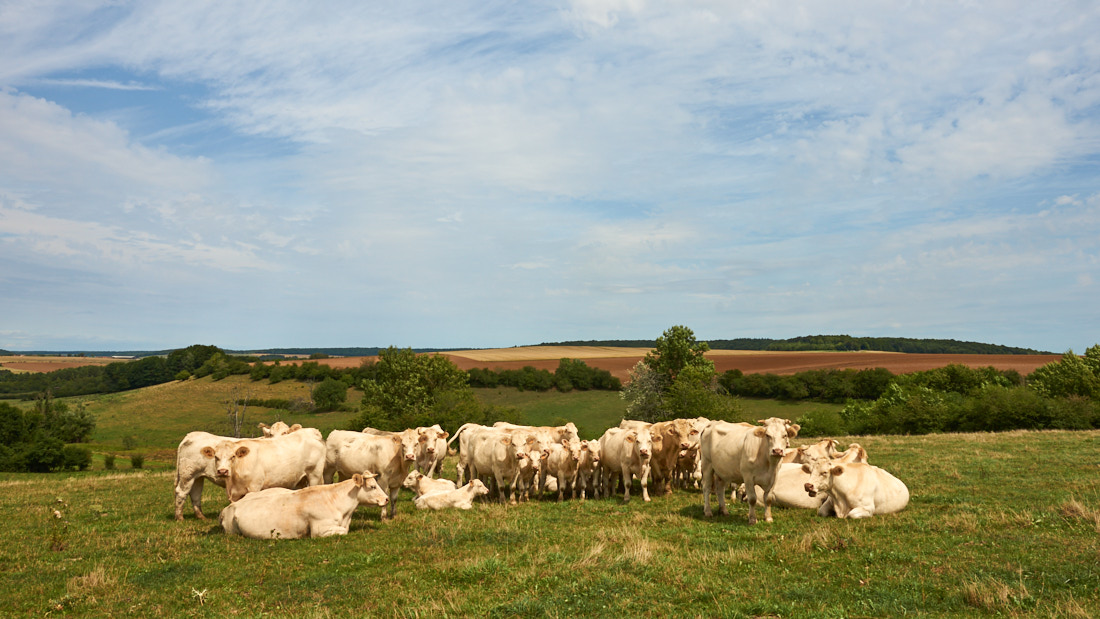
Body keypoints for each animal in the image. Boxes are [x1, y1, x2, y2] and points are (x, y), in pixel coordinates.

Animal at [218, 472, 388, 539]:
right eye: (372, 486)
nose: (386, 499)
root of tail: (229, 507)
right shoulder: (319, 530)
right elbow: (343, 531)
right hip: (232, 531)